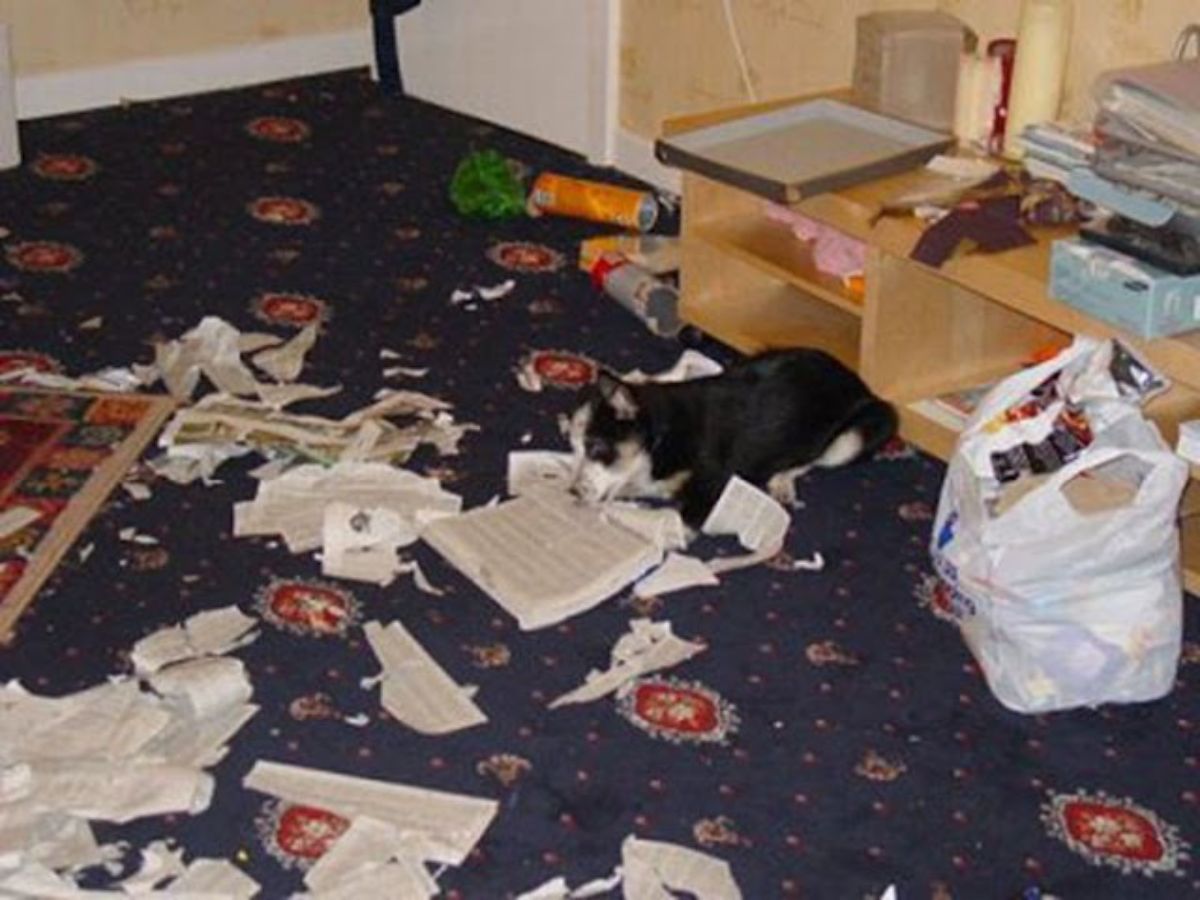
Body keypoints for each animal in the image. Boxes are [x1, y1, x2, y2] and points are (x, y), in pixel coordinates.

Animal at [566, 348, 897, 528]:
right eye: (574, 450)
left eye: (597, 447)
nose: (571, 493)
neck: (662, 437)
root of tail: (859, 383)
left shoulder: (712, 487)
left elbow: (676, 525)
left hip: (862, 431)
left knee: (813, 457)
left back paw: (783, 482)